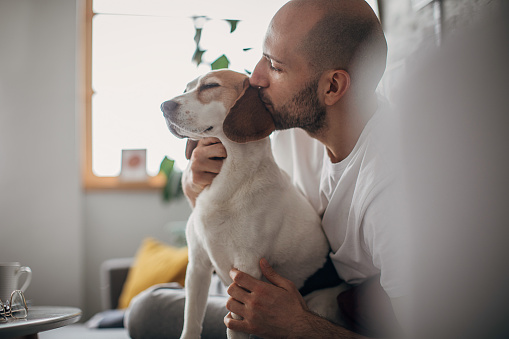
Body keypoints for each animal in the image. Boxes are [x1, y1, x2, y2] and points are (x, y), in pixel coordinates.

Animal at [161, 69, 332, 339]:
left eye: (210, 86)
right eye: (186, 88)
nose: (163, 106)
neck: (229, 179)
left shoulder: (244, 272)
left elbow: (235, 328)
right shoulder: (197, 266)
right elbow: (191, 323)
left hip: (321, 303)